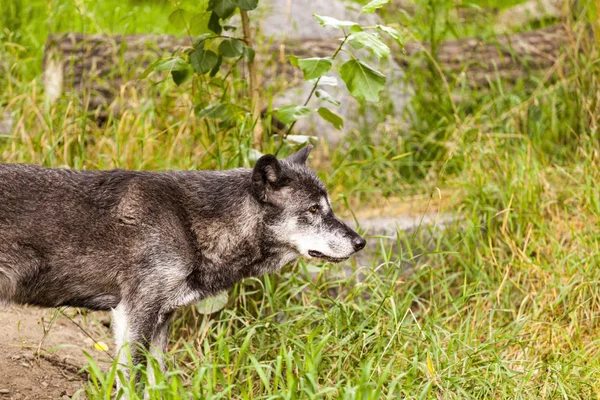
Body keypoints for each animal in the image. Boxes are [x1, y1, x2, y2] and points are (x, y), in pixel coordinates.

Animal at [0, 147, 366, 388]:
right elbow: (134, 382)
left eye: (328, 207)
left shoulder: (161, 319)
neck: (187, 221)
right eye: (314, 209)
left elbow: (157, 382)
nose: (360, 242)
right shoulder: (135, 313)